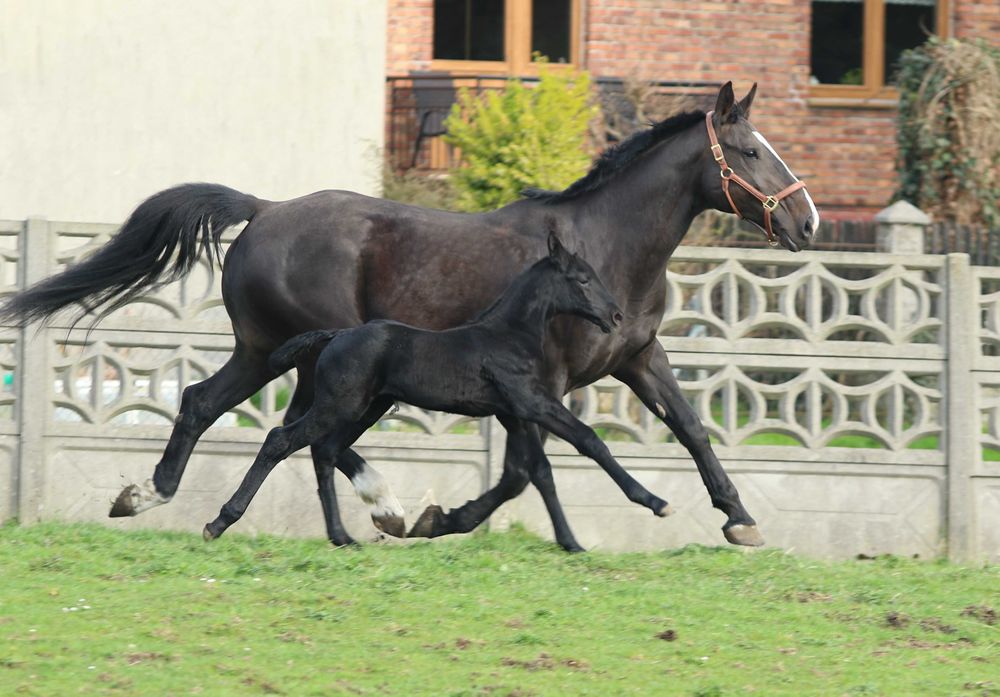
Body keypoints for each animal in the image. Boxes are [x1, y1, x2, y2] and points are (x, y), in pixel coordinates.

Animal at [202, 234, 672, 544]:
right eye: (582, 278)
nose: (615, 317)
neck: (508, 334)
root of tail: (336, 334)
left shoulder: (514, 414)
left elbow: (539, 472)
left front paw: (569, 541)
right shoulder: (532, 403)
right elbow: (589, 441)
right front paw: (652, 501)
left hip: (366, 408)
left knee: (327, 451)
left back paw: (342, 536)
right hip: (340, 405)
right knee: (280, 440)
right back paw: (218, 523)